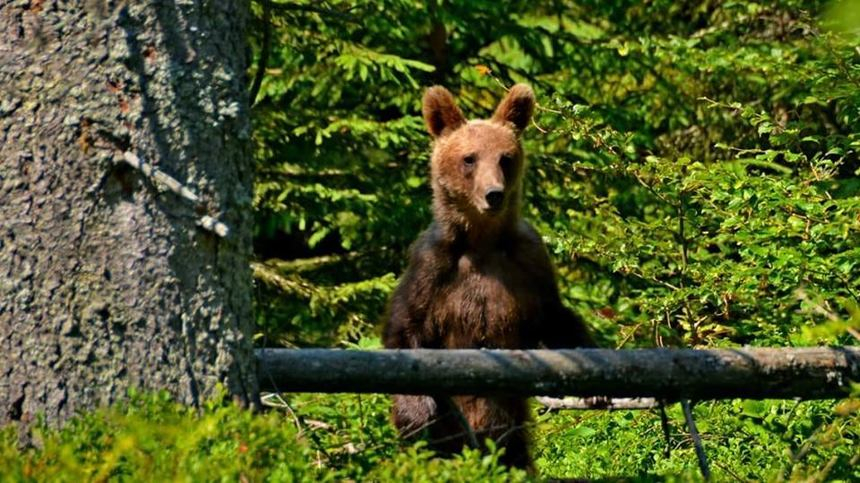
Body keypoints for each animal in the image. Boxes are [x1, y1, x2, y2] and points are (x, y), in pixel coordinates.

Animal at [384, 85, 596, 470]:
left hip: (511, 422)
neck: (481, 242)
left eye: (505, 157)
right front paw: (416, 411)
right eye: (469, 158)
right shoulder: (431, 267)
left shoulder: (529, 261)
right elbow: (405, 331)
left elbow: (556, 319)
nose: (493, 194)